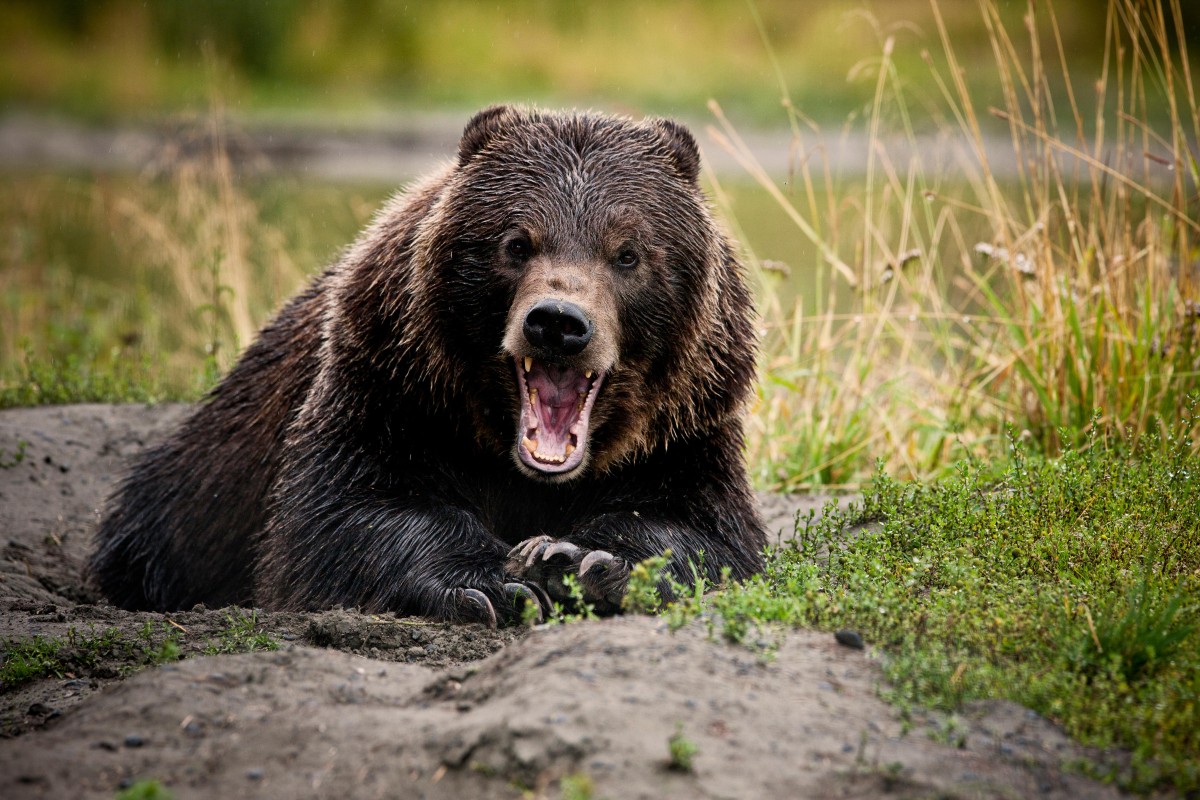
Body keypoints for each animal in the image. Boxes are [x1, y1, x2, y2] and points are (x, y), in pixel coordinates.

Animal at [88, 105, 766, 625]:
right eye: (515, 242)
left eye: (628, 252)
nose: (557, 323)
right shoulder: (391, 385)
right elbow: (347, 511)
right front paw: (497, 581)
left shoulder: (685, 426)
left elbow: (702, 532)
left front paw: (584, 561)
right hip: (200, 483)